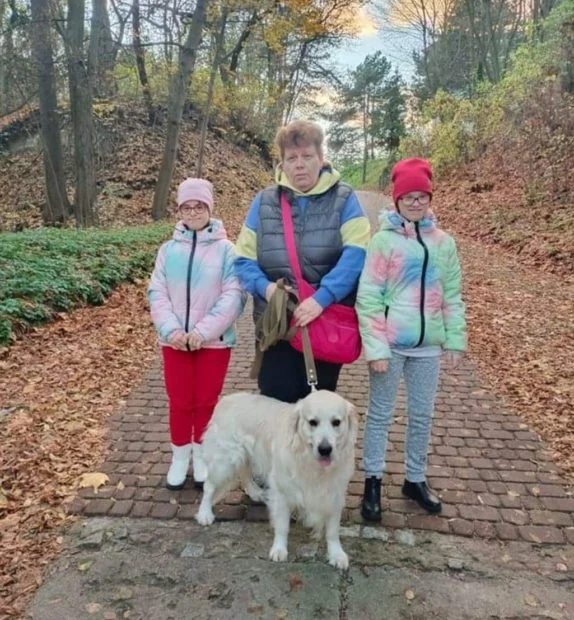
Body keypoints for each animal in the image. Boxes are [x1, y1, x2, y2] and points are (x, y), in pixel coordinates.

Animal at [198, 390, 360, 568]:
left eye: (336, 422)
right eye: (313, 422)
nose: (325, 449)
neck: (311, 463)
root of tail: (226, 399)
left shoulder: (335, 493)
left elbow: (332, 530)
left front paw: (336, 554)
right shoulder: (282, 491)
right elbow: (282, 526)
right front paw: (279, 549)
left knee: (244, 472)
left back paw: (254, 492)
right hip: (224, 460)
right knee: (209, 486)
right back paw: (204, 513)